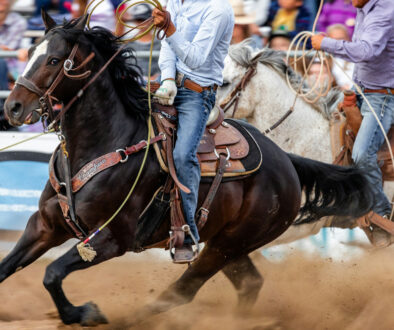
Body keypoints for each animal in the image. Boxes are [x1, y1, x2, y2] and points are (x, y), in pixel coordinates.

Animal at [1, 13, 374, 328]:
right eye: (31, 52)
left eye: (54, 60)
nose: (13, 107)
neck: (105, 143)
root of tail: (286, 160)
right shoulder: (44, 225)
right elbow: (9, 267)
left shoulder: (110, 239)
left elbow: (52, 273)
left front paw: (85, 312)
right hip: (228, 244)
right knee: (249, 283)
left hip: (229, 244)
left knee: (183, 291)